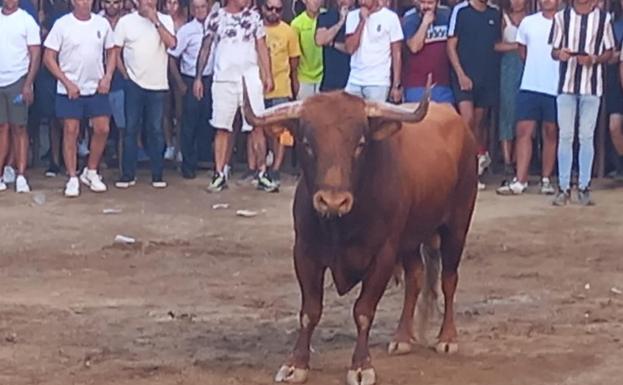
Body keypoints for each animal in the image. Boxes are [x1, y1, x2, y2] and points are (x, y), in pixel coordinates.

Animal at [243, 78, 478, 384]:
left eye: (360, 144)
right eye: (307, 143)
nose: (333, 201)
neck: (340, 225)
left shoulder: (383, 255)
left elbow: (364, 311)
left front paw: (360, 366)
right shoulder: (305, 253)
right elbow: (310, 311)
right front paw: (296, 364)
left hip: (457, 226)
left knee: (449, 279)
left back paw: (447, 338)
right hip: (410, 238)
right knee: (415, 277)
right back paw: (402, 337)